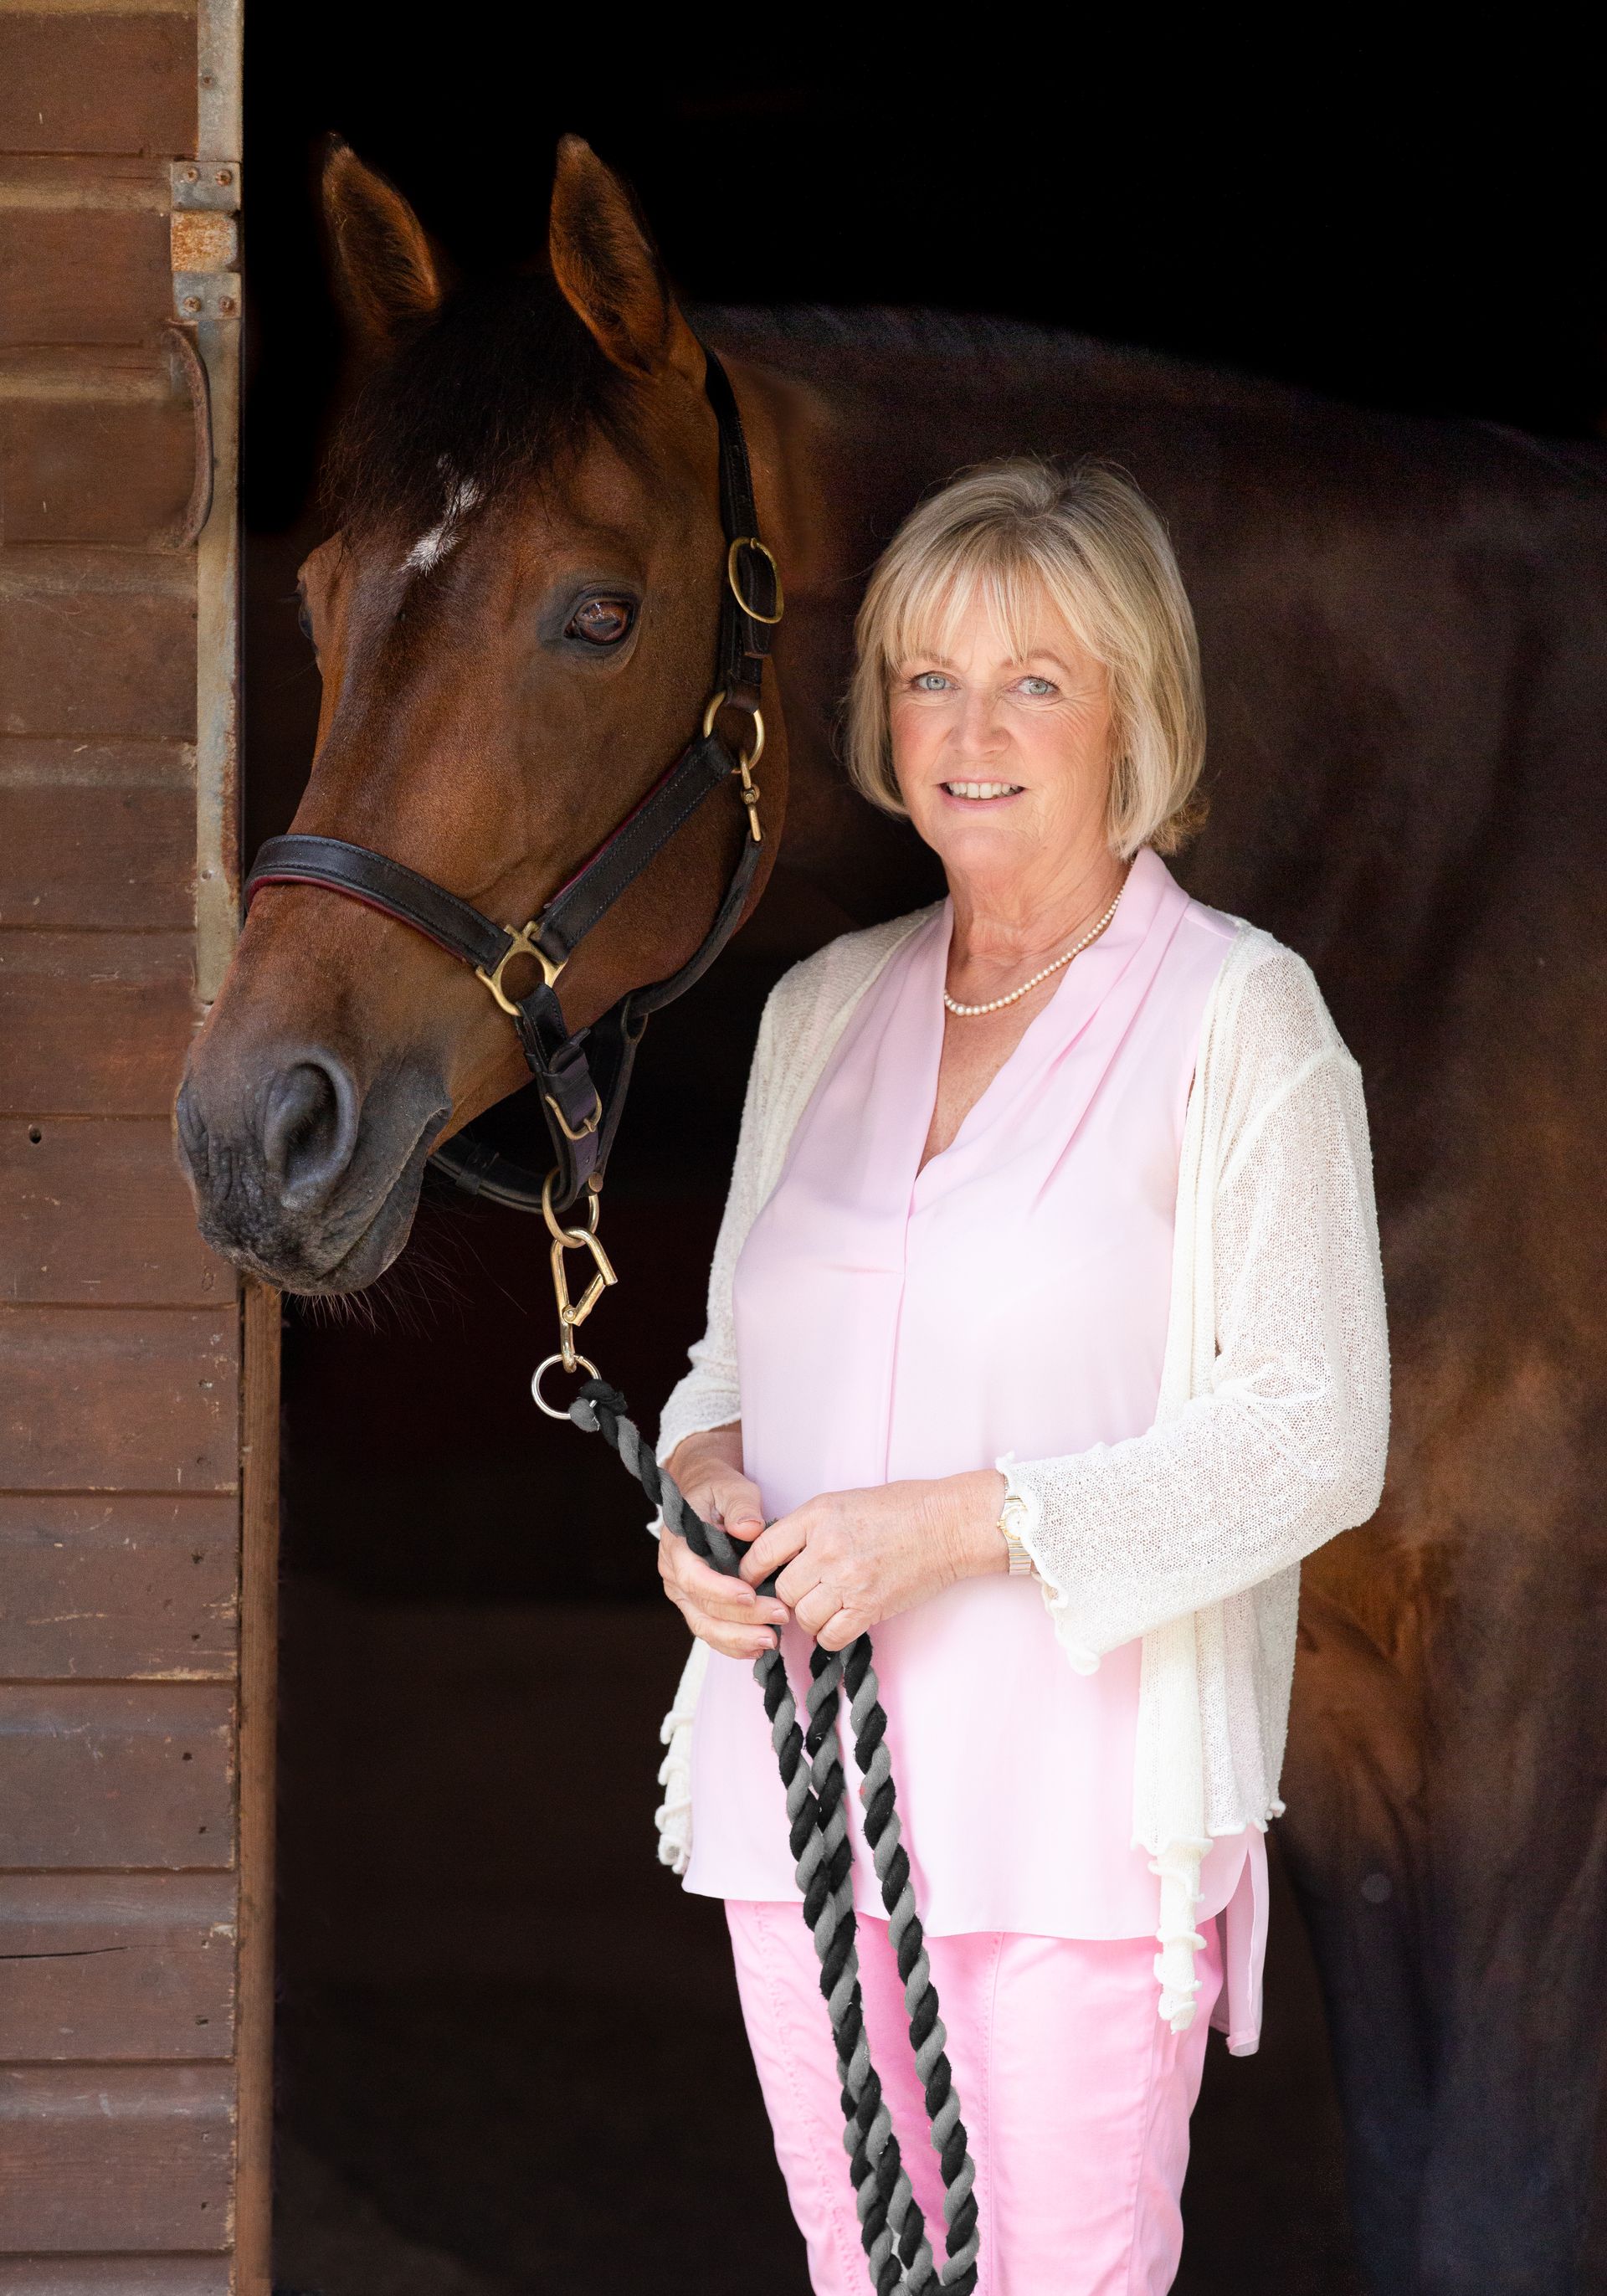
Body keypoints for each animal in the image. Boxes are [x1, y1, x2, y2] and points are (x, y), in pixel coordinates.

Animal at [177, 135, 1607, 2295]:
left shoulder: (1522, 1739)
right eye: (326, 591)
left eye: (595, 613)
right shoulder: (1357, 1734)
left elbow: (1488, 2207)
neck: (1447, 900)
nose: (259, 1130)